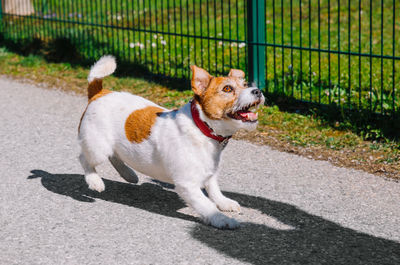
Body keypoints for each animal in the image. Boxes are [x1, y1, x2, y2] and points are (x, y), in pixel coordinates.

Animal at [78, 55, 266, 227]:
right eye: (227, 88)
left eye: (245, 85)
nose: (257, 91)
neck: (201, 128)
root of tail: (99, 93)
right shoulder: (187, 185)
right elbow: (206, 205)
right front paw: (222, 220)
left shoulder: (210, 173)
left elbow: (214, 190)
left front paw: (224, 203)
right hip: (97, 148)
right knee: (84, 159)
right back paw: (95, 181)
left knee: (114, 156)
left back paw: (129, 175)